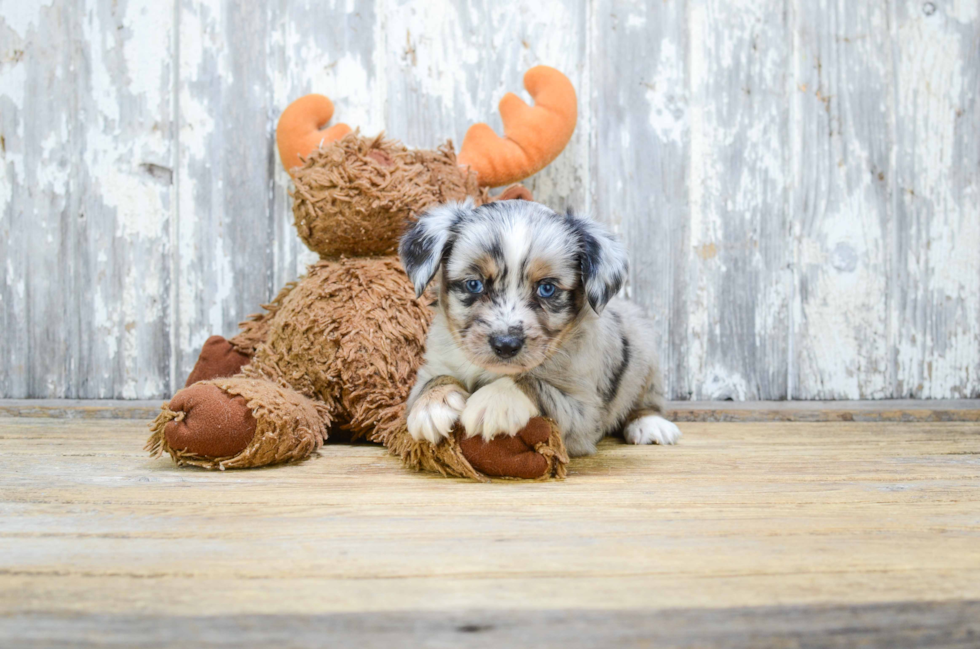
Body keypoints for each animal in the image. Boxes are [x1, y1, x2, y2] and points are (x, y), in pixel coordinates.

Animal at [394, 197, 676, 456]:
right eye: (474, 284)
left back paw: (650, 424)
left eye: (547, 288)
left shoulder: (583, 409)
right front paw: (432, 405)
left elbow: (533, 383)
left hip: (646, 357)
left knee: (647, 401)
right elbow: (436, 379)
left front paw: (494, 401)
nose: (506, 345)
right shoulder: (432, 367)